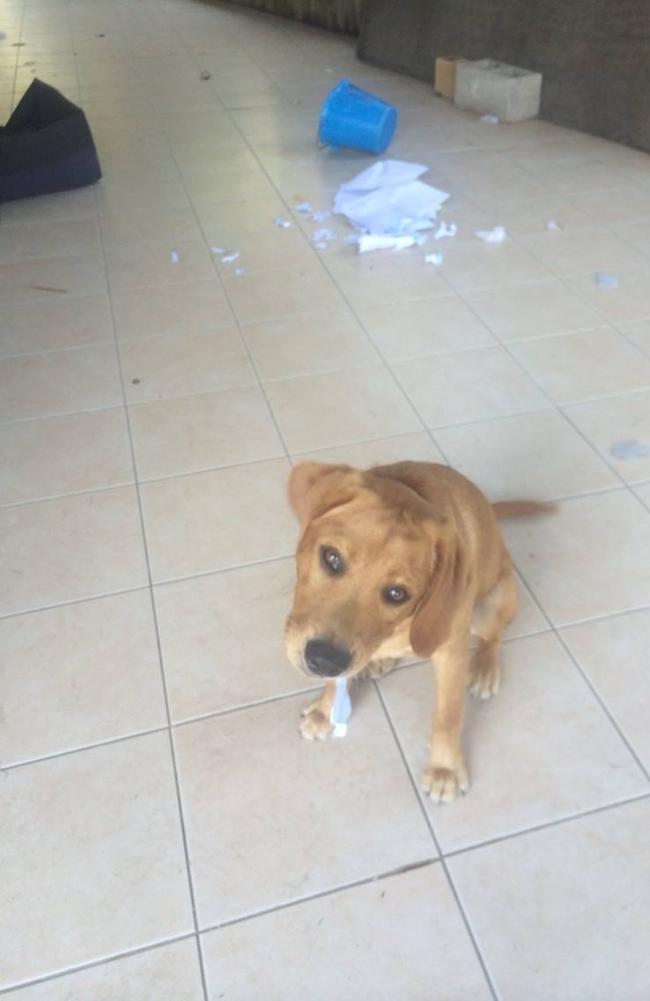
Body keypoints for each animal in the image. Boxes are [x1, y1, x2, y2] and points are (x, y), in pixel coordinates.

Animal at [284, 462, 552, 804]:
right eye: (331, 558)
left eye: (397, 593)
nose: (323, 660)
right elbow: (338, 680)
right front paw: (323, 711)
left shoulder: (451, 654)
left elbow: (447, 716)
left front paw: (444, 769)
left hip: (494, 602)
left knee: (492, 638)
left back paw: (484, 668)